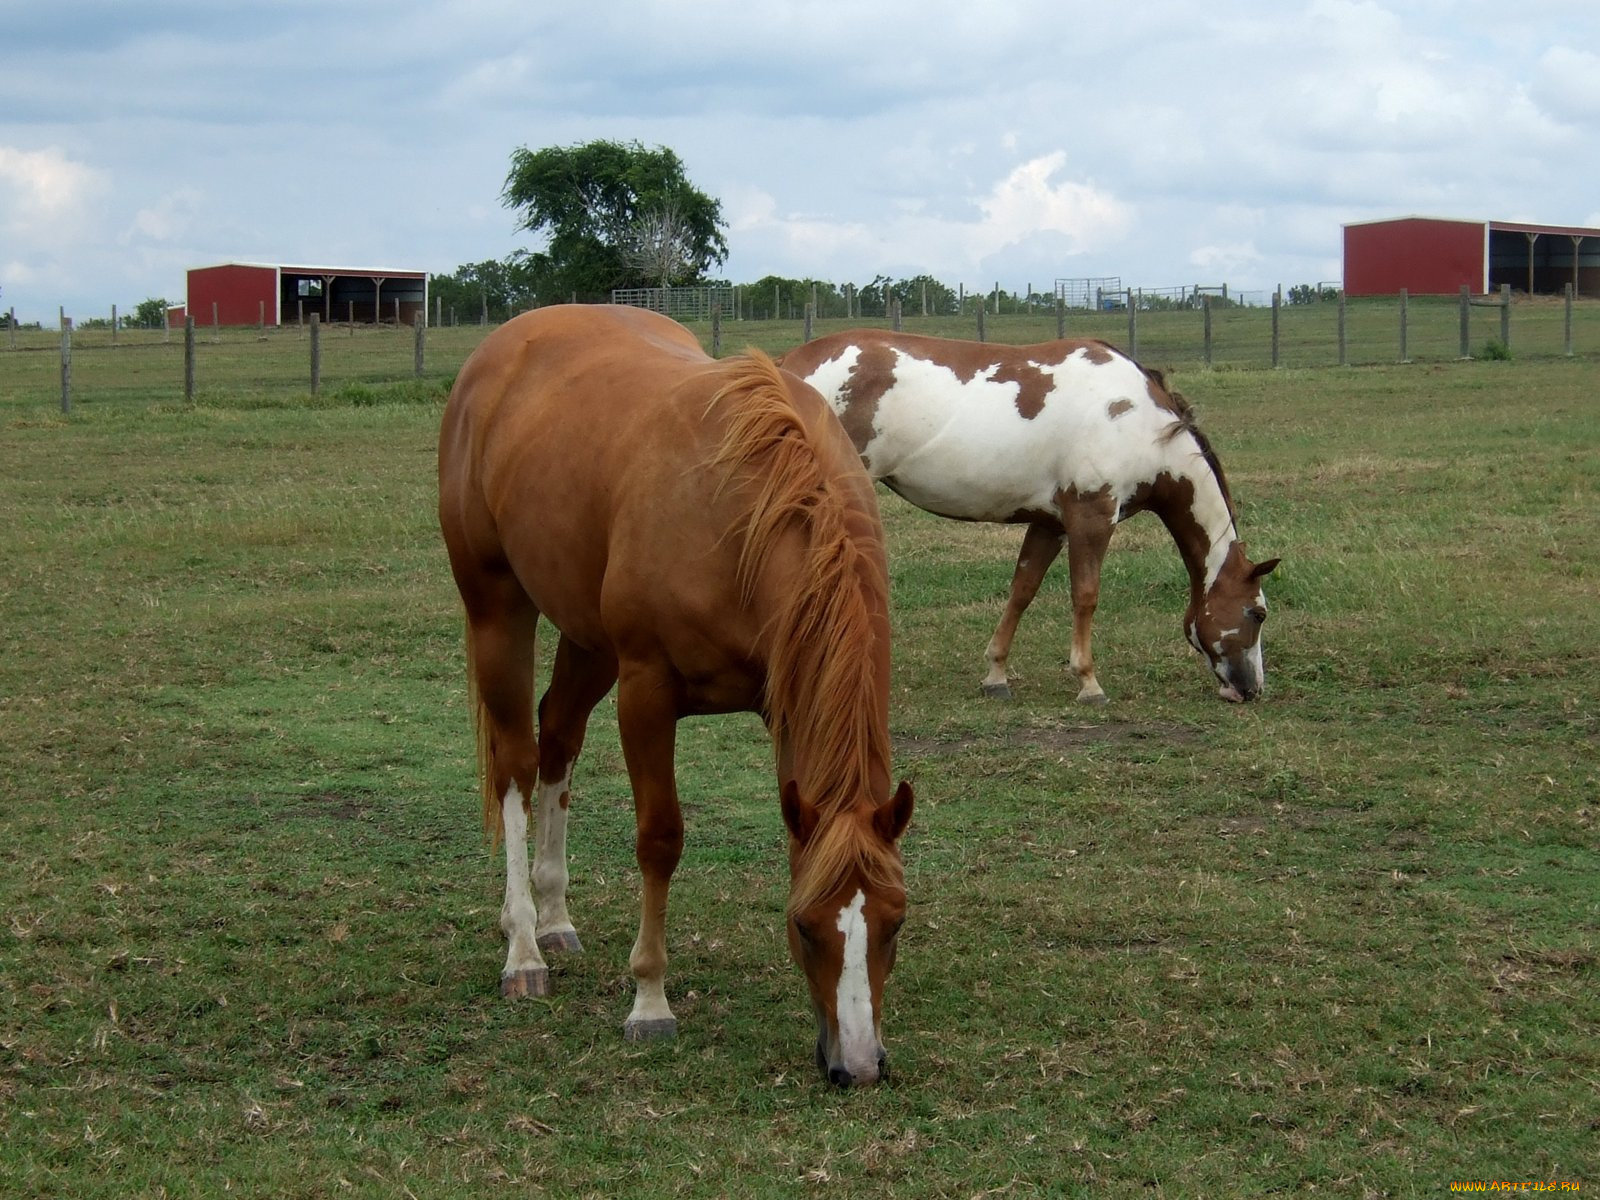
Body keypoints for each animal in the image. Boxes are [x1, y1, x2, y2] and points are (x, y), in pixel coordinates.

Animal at [438, 302, 915, 1088]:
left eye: (895, 920)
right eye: (806, 925)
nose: (858, 1065)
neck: (746, 514)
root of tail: (503, 348)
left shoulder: (786, 703)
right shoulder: (646, 693)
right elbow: (659, 839)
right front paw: (649, 999)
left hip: (587, 638)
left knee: (557, 736)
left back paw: (554, 917)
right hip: (498, 610)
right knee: (515, 763)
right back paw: (523, 948)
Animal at [780, 331, 1280, 704]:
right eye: (1257, 613)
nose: (1251, 690)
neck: (1139, 422)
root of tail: (787, 365)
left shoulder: (1050, 523)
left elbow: (1022, 590)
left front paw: (996, 675)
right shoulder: (1092, 518)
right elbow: (1085, 595)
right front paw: (1089, 682)